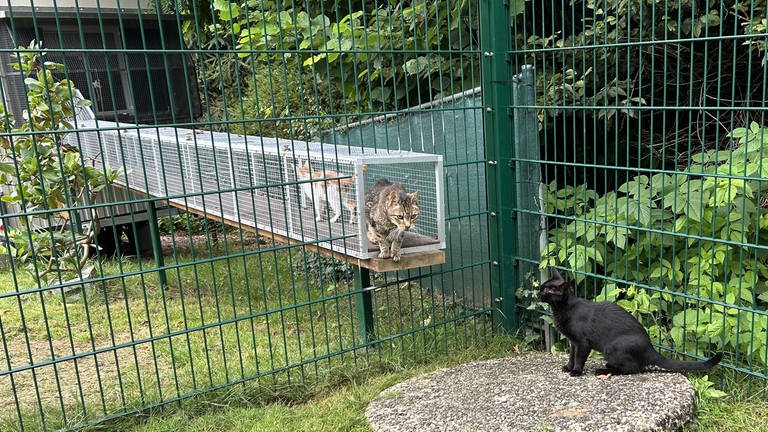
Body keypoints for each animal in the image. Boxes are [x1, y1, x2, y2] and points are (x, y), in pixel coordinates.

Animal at [536, 268, 724, 376]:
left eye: (546, 290)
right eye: (542, 287)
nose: (538, 293)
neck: (563, 309)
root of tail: (650, 348)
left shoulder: (583, 342)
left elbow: (580, 358)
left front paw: (576, 371)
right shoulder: (573, 342)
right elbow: (571, 356)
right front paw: (568, 367)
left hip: (611, 347)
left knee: (633, 369)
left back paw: (604, 370)